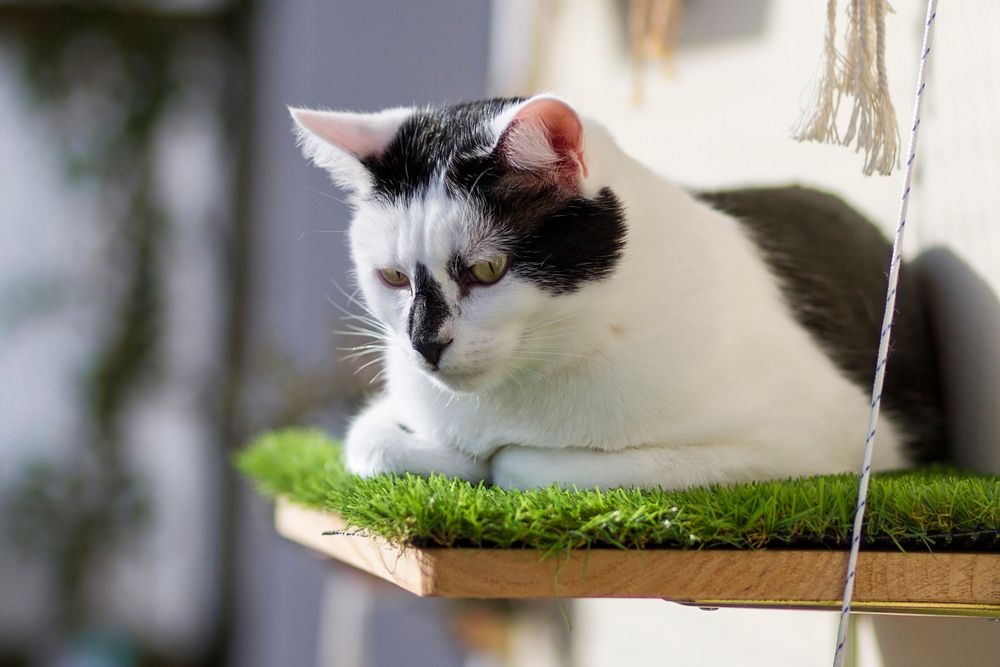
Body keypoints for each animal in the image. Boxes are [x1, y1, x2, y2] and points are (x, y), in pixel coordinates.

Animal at [292, 94, 944, 490]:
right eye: (393, 278)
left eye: (487, 270)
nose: (424, 346)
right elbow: (371, 440)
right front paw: (446, 453)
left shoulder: (821, 442)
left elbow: (523, 465)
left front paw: (488, 460)